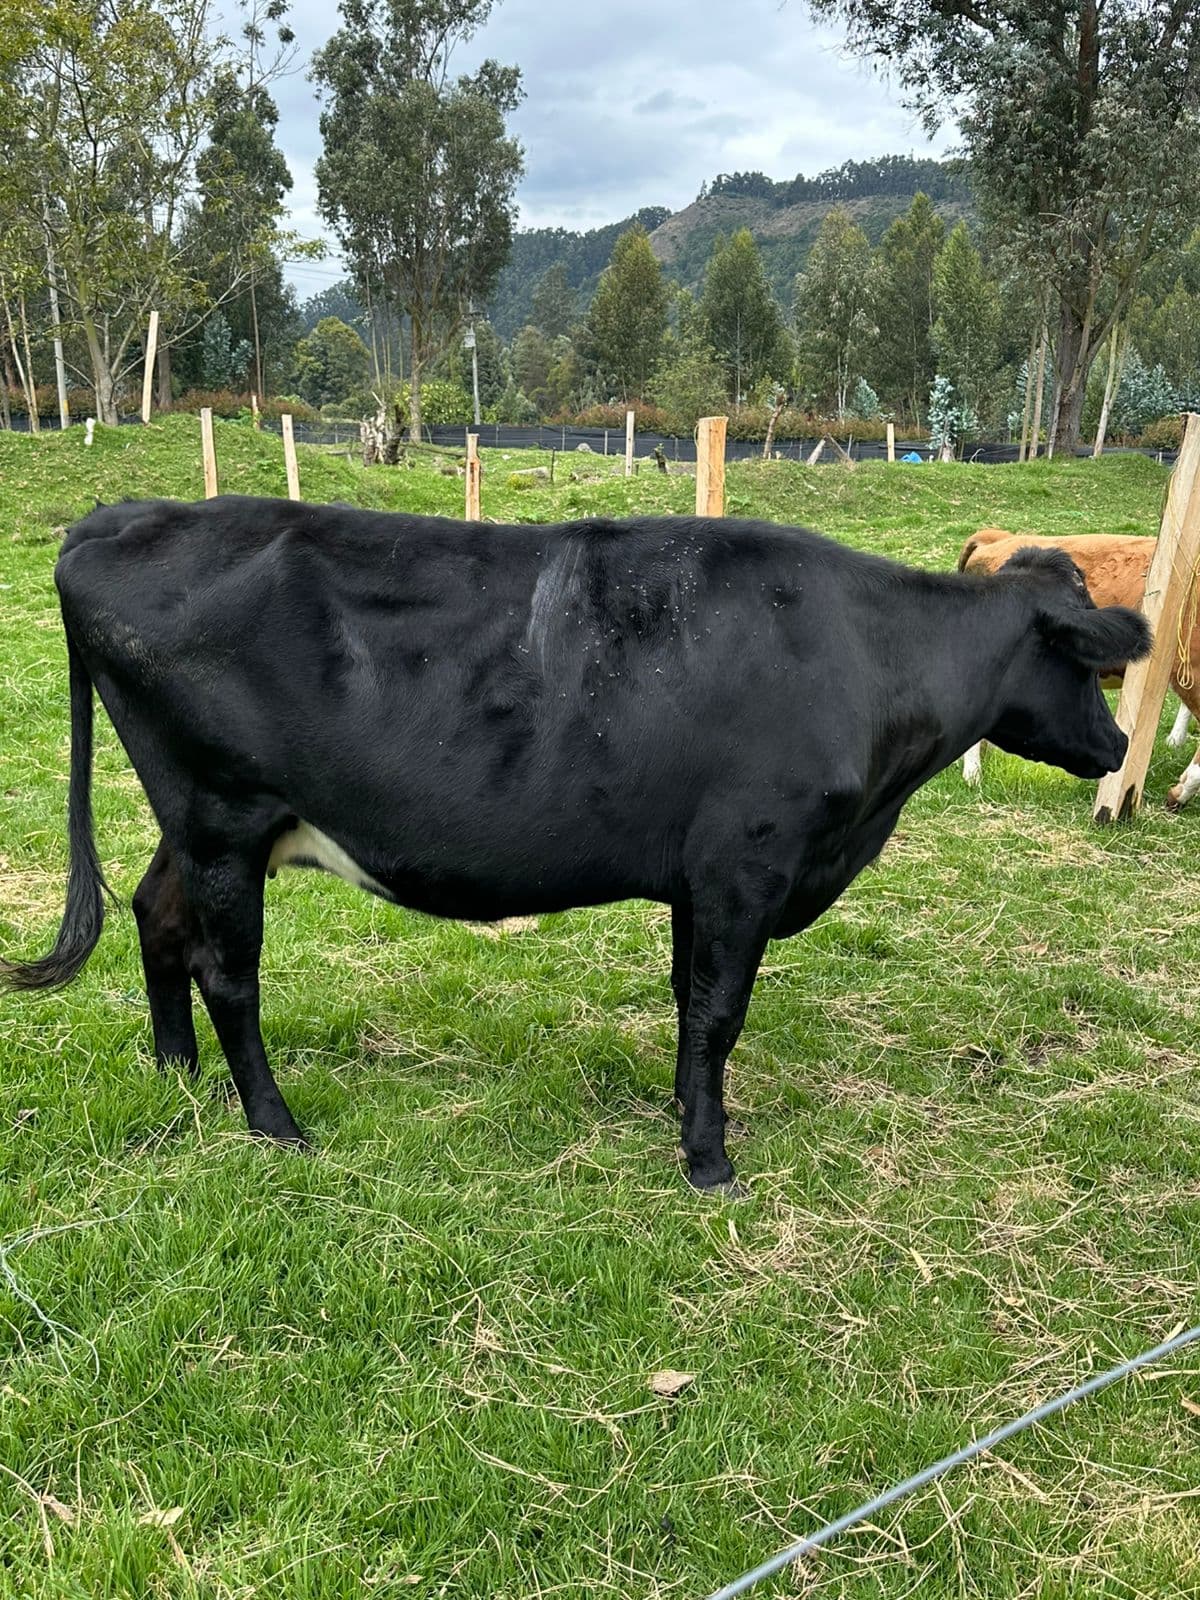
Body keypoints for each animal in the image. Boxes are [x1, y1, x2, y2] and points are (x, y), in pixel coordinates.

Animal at [0, 498, 1151, 1193]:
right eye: (1083, 661)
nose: (1118, 744)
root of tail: (121, 517)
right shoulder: (747, 861)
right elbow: (720, 1012)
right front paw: (709, 1160)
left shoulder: (701, 877)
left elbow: (690, 1003)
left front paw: (684, 1116)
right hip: (222, 814)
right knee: (228, 972)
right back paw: (273, 1122)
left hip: (204, 826)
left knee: (157, 917)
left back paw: (177, 1075)